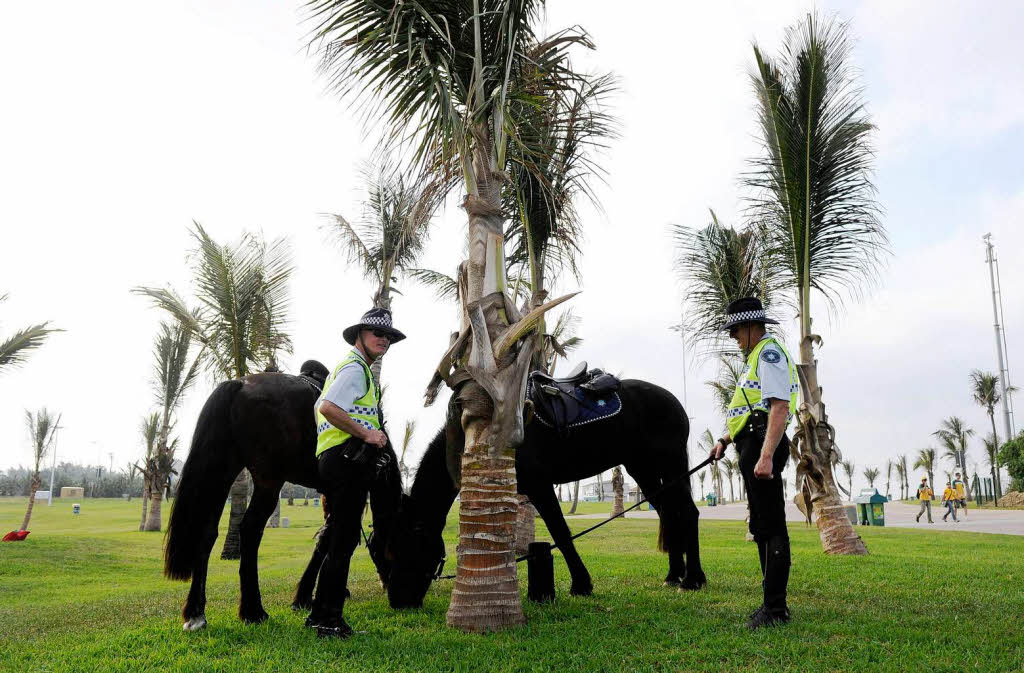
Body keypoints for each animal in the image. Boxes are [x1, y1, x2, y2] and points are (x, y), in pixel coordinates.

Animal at [163, 362, 399, 631]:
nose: (391, 587)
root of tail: (240, 384)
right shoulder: (341, 491)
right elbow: (329, 538)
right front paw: (307, 597)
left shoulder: (330, 494)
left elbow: (325, 538)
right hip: (268, 481)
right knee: (251, 529)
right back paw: (253, 610)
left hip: (223, 471)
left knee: (207, 532)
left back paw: (196, 612)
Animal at [374, 376, 704, 610]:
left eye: (406, 547)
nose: (398, 602)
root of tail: (672, 399)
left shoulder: (540, 486)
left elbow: (561, 532)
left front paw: (581, 585)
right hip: (642, 467)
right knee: (668, 513)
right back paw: (673, 575)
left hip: (671, 462)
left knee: (687, 512)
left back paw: (693, 580)